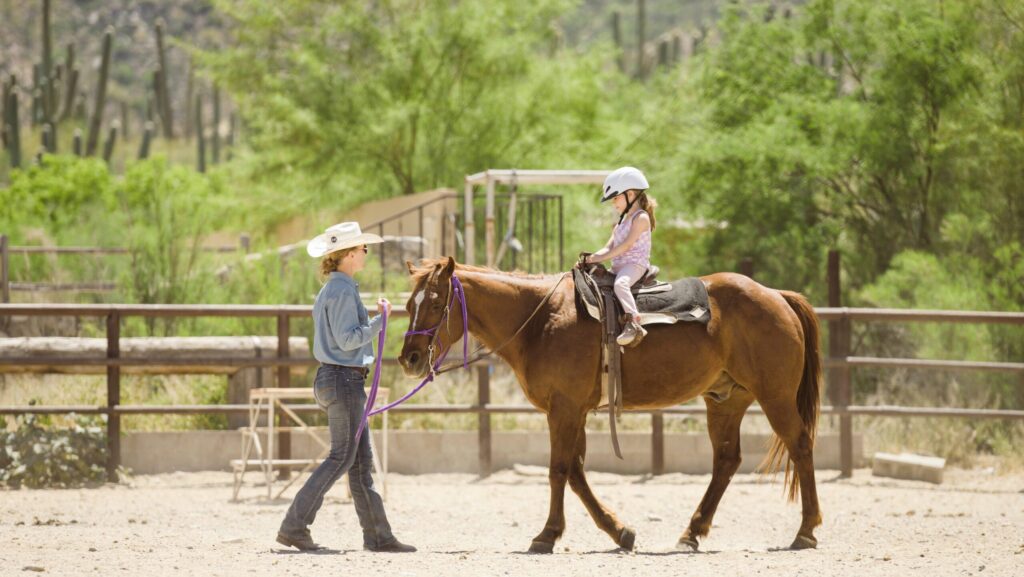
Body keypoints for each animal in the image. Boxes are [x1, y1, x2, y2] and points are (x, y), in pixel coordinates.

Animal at [398, 257, 822, 553]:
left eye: (434, 302)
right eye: (409, 303)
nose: (409, 358)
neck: (541, 320)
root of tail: (778, 296)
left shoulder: (564, 409)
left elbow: (558, 470)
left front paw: (546, 535)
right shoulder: (573, 412)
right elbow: (576, 472)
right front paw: (620, 532)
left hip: (775, 397)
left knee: (800, 446)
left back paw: (806, 531)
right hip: (726, 400)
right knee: (727, 461)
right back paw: (691, 533)